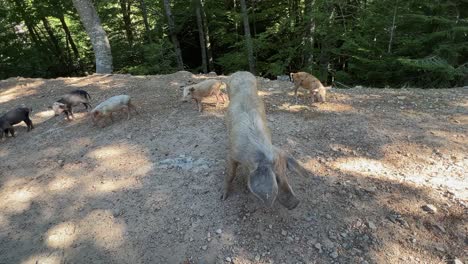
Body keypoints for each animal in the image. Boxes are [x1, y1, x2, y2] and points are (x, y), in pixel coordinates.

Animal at [223, 71, 308, 209]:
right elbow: (230, 175)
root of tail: (241, 72)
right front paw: (223, 198)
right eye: (276, 179)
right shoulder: (231, 154)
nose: (296, 203)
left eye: (285, 173)